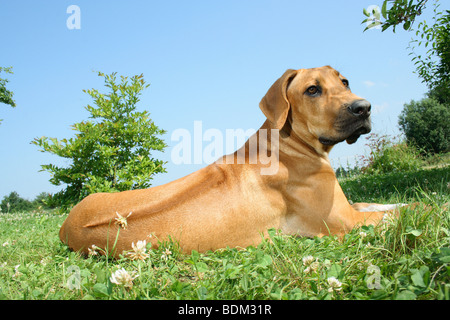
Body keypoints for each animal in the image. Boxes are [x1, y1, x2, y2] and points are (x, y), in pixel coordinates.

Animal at [59, 66, 404, 256]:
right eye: (312, 90)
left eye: (344, 82)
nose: (364, 107)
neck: (290, 143)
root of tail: (65, 228)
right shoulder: (345, 222)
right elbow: (397, 213)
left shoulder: (350, 208)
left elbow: (383, 205)